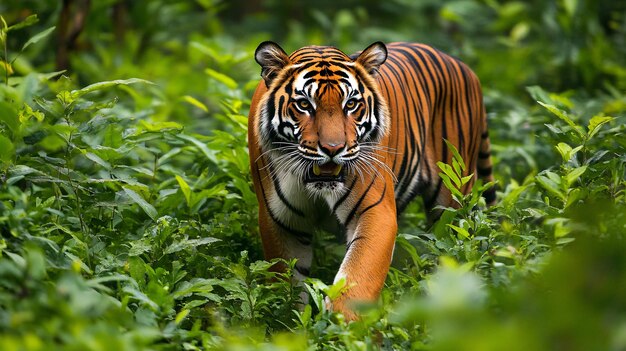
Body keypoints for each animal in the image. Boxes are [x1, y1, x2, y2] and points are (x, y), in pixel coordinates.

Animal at [246, 40, 494, 320]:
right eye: (304, 105)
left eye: (351, 104)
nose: (333, 148)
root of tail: (466, 68)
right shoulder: (281, 221)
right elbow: (286, 282)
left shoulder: (375, 211)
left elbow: (358, 276)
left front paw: (342, 325)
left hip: (453, 199)